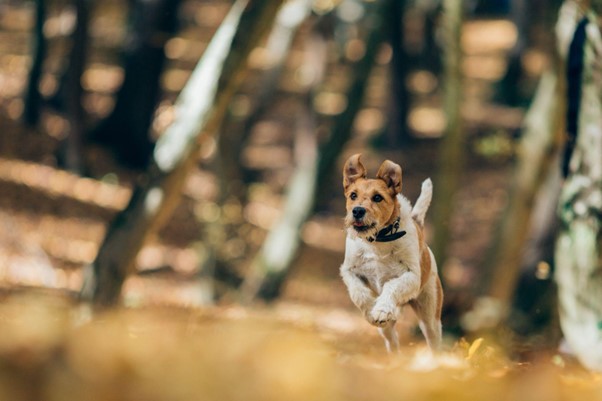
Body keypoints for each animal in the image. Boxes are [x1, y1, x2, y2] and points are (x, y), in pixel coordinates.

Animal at [338, 153, 440, 350]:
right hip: (387, 332)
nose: (357, 211)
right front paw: (371, 309)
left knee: (434, 341)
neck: (377, 241)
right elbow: (358, 292)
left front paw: (382, 309)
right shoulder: (349, 271)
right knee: (392, 341)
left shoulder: (412, 276)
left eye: (378, 198)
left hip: (430, 316)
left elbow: (392, 285)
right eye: (353, 195)